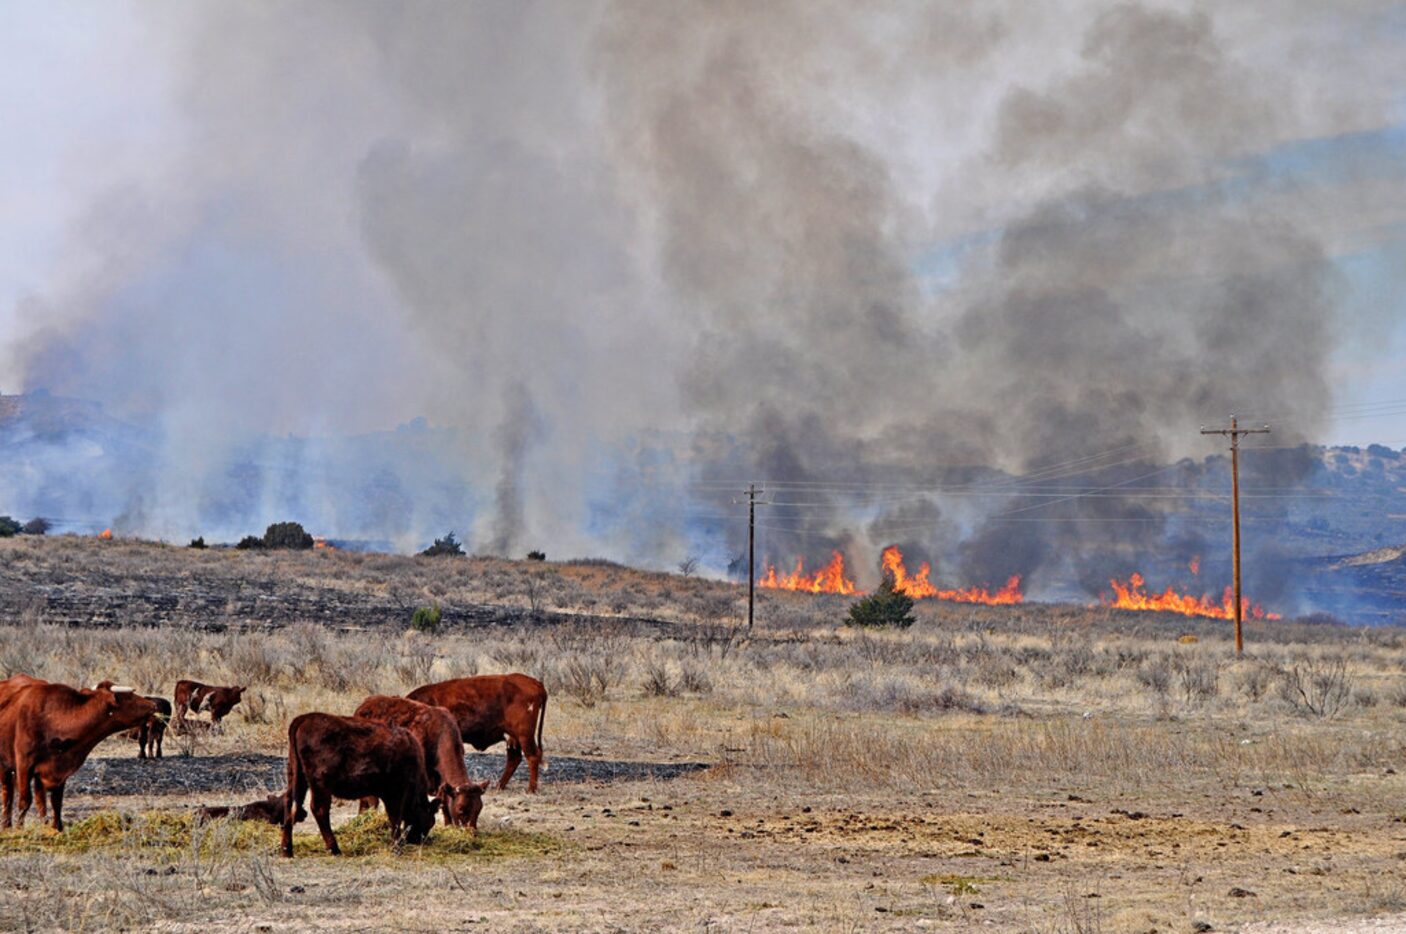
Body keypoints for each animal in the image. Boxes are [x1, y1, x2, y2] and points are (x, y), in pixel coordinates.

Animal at [0, 677, 155, 832]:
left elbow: (56, 802)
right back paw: (7, 825)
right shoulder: (24, 766)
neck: (52, 719)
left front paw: (57, 828)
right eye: (129, 696)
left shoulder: (59, 770)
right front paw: (19, 829)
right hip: (6, 767)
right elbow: (24, 801)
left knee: (35, 798)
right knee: (7, 794)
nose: (153, 705)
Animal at [282, 711, 435, 855]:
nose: (419, 841)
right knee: (319, 809)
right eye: (429, 822)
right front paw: (397, 846)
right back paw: (334, 849)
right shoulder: (395, 791)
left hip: (297, 778)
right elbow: (395, 817)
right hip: (320, 785)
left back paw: (287, 850)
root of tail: (304, 718)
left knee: (289, 804)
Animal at [354, 692, 492, 832]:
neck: (439, 737)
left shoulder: (441, 780)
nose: (472, 832)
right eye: (461, 810)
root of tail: (365, 705)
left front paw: (447, 826)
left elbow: (444, 802)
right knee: (371, 800)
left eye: (478, 809)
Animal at [407, 675, 548, 793]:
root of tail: (535, 683)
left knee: (532, 756)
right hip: (513, 737)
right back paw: (499, 786)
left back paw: (531, 789)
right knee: (515, 758)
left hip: (524, 735)